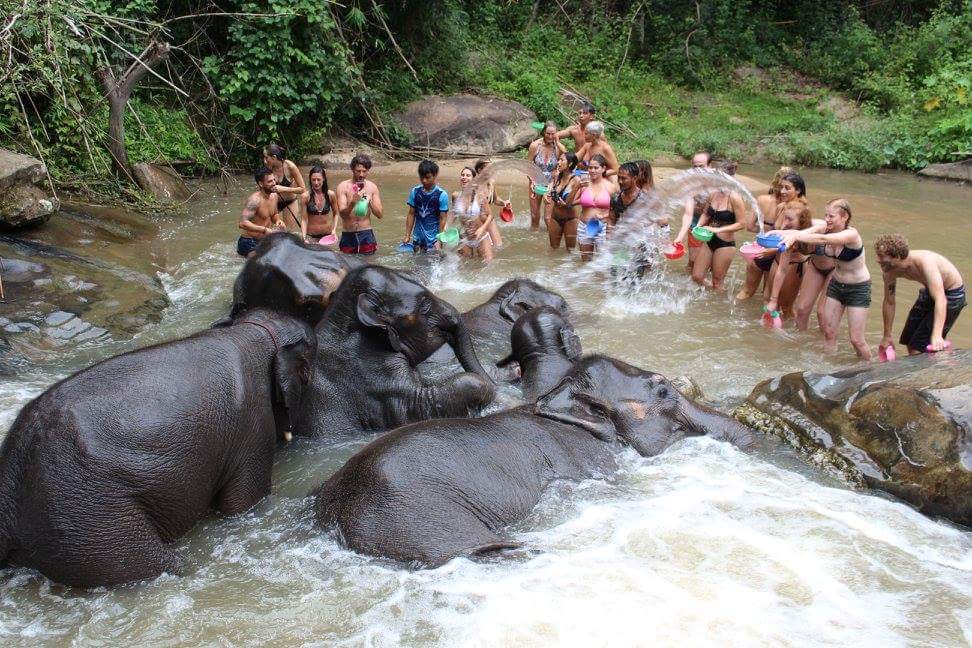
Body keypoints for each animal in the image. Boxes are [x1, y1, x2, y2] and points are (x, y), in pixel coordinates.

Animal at [0, 308, 316, 588]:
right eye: (308, 374)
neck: (250, 332)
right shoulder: (253, 428)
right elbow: (241, 504)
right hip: (87, 518)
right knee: (156, 564)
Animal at [314, 354, 756, 566]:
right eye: (663, 391)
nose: (750, 440)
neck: (556, 398)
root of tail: (338, 516)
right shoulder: (589, 460)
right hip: (422, 521)